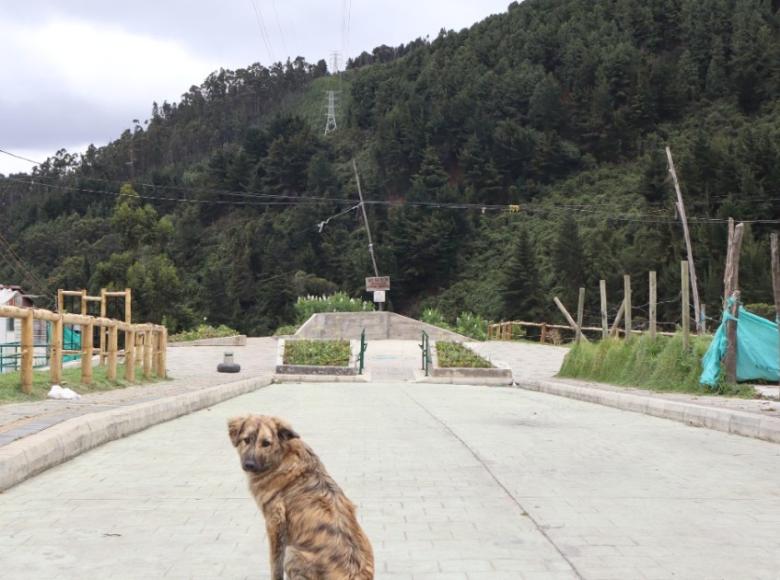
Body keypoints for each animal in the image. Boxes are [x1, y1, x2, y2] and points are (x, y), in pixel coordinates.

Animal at [229, 414, 374, 576]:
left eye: (266, 443)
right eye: (246, 440)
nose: (249, 464)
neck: (281, 456)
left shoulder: (275, 523)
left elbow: (275, 566)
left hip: (292, 553)